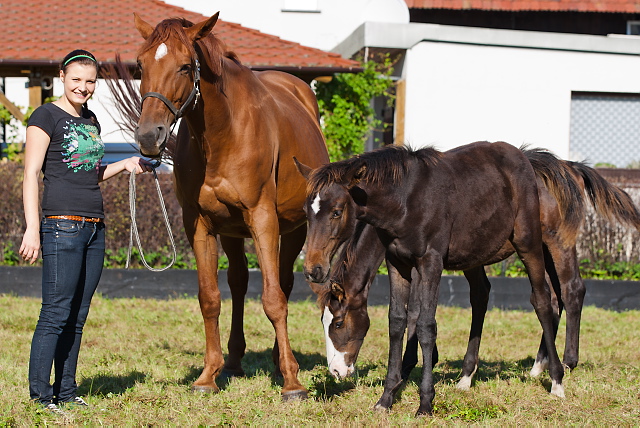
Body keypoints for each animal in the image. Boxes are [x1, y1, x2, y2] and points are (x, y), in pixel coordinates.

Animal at [132, 14, 328, 402]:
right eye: (140, 65)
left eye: (185, 66)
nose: (149, 136)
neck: (224, 132)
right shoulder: (199, 224)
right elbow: (210, 298)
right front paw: (208, 375)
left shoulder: (263, 219)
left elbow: (273, 298)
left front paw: (292, 382)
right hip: (233, 233)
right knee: (238, 283)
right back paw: (235, 361)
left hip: (293, 229)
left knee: (283, 283)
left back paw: (279, 361)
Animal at [298, 142, 564, 416]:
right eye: (306, 212)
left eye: (336, 212)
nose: (313, 269)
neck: (404, 201)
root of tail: (524, 157)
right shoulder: (397, 264)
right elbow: (398, 322)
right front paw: (387, 397)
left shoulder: (430, 263)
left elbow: (426, 325)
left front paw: (425, 401)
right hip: (474, 255)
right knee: (481, 296)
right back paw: (466, 378)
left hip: (530, 243)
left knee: (543, 300)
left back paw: (555, 380)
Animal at [304, 148, 640, 388]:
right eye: (307, 212)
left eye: (338, 323)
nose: (336, 371)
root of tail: (561, 165)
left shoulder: (427, 261)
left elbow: (417, 312)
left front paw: (412, 365)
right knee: (546, 297)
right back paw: (536, 365)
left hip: (555, 243)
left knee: (571, 291)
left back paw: (567, 362)